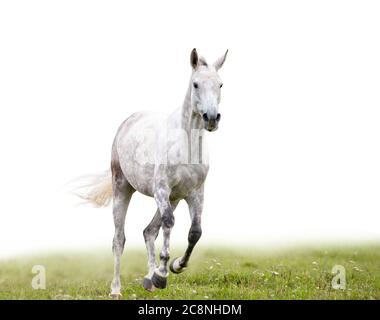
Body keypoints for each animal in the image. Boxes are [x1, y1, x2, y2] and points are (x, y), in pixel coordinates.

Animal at [80, 48, 227, 298]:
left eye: (220, 84)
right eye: (196, 84)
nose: (211, 118)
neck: (186, 145)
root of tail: (127, 121)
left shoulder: (195, 194)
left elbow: (195, 233)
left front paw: (175, 266)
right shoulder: (161, 190)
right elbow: (168, 224)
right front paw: (162, 274)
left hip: (174, 199)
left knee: (149, 231)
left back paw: (148, 279)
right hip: (123, 188)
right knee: (119, 239)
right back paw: (116, 289)